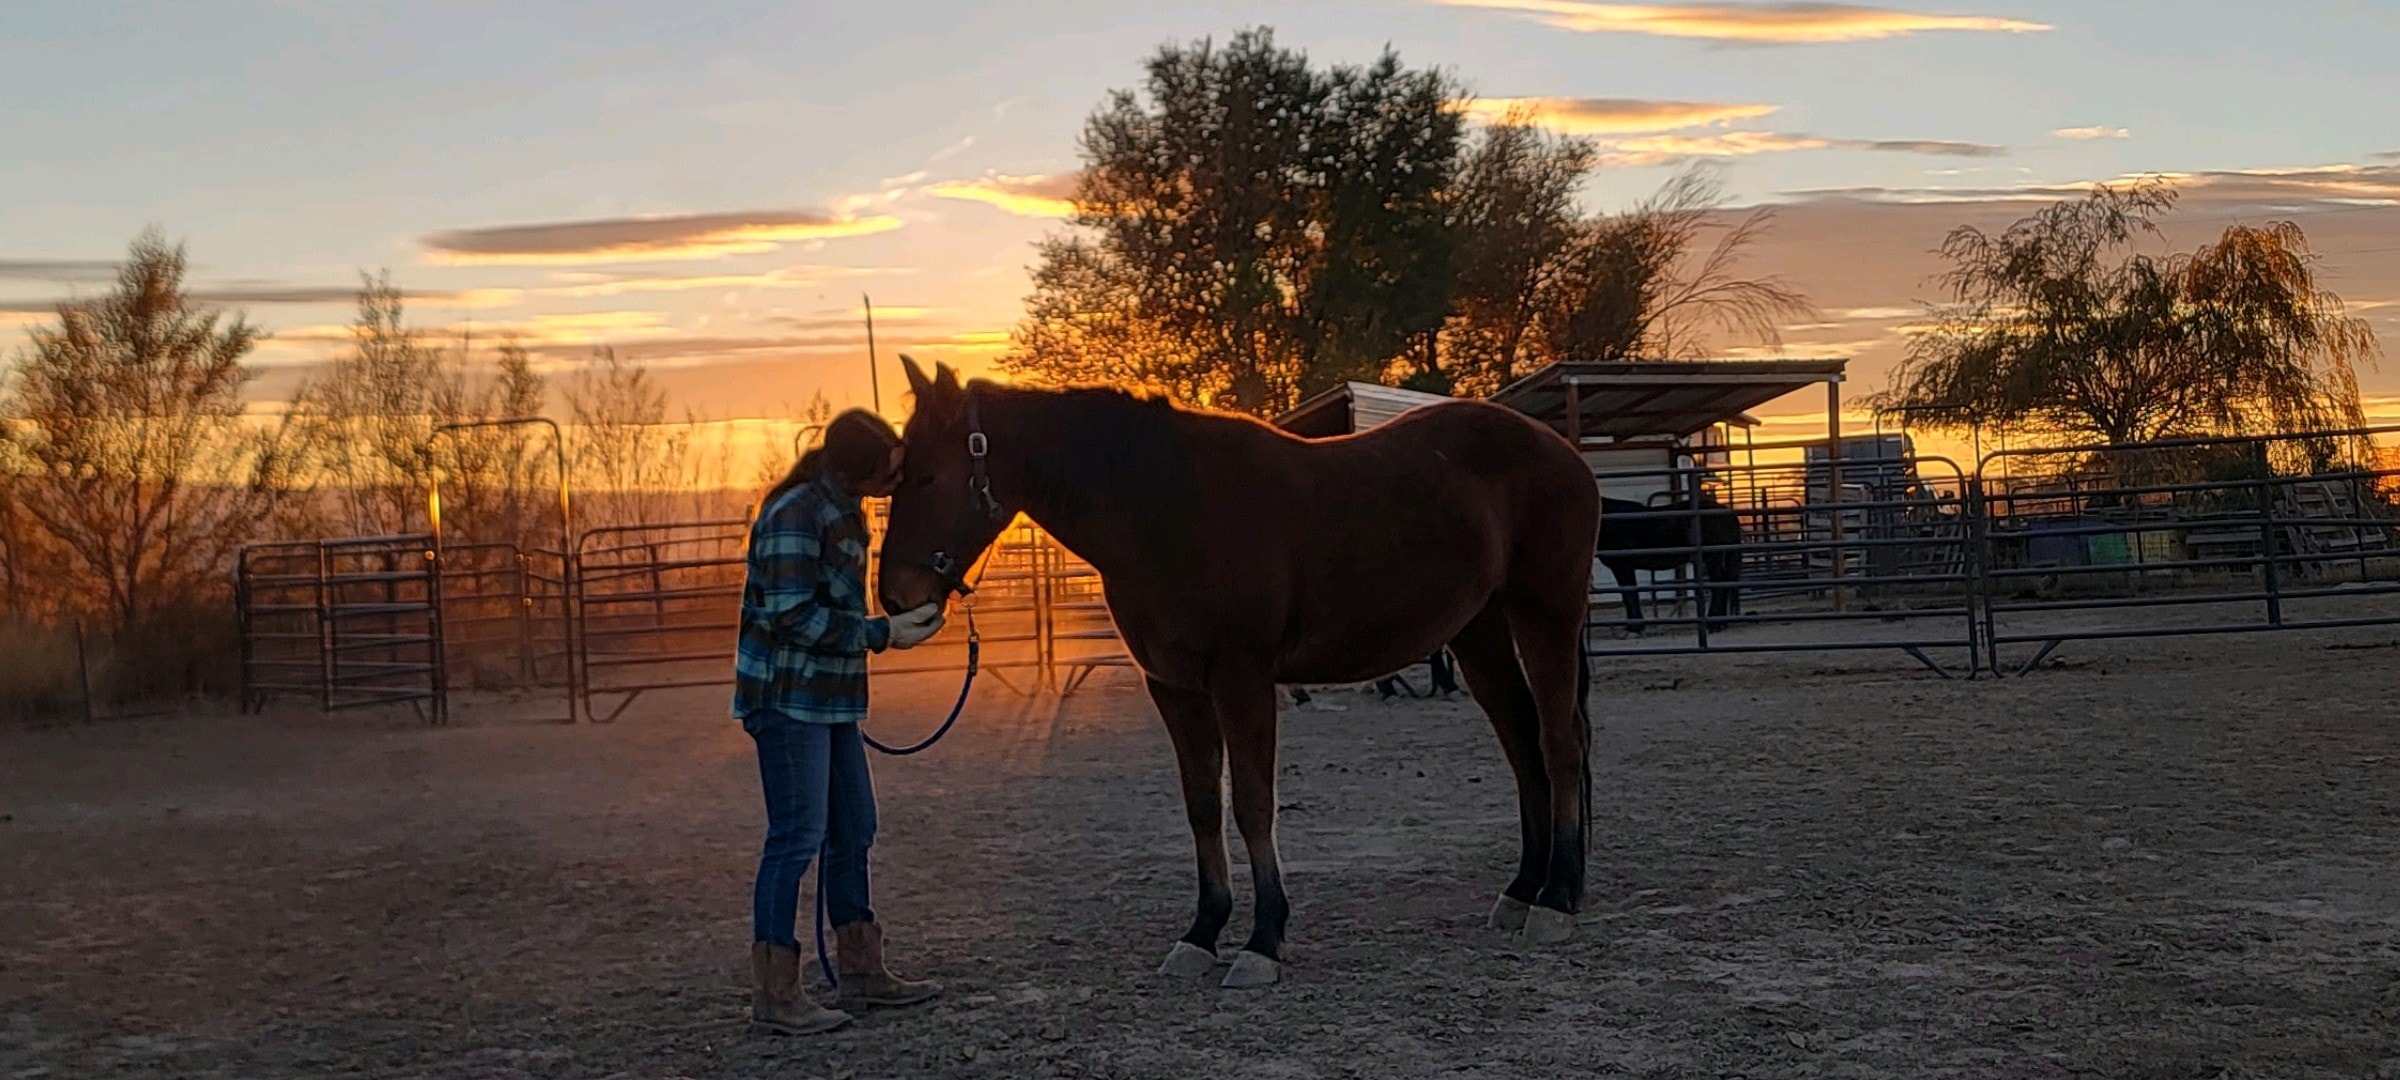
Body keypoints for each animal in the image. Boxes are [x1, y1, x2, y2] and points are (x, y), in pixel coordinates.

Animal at [875, 358, 1599, 989]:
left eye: (928, 477)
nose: (894, 597)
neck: (1166, 506)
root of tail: (1561, 451)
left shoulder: (1241, 679)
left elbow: (1252, 805)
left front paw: (1263, 941)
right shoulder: (1175, 689)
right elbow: (1202, 806)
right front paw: (1202, 933)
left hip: (1545, 615)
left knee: (1559, 744)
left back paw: (1557, 900)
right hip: (1479, 633)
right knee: (1523, 748)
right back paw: (1524, 890)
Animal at [1595, 494, 1743, 634]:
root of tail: (1729, 513)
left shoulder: (1623, 566)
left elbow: (1629, 594)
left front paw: (1635, 628)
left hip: (1713, 556)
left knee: (1719, 583)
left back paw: (1714, 624)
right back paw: (1721, 623)